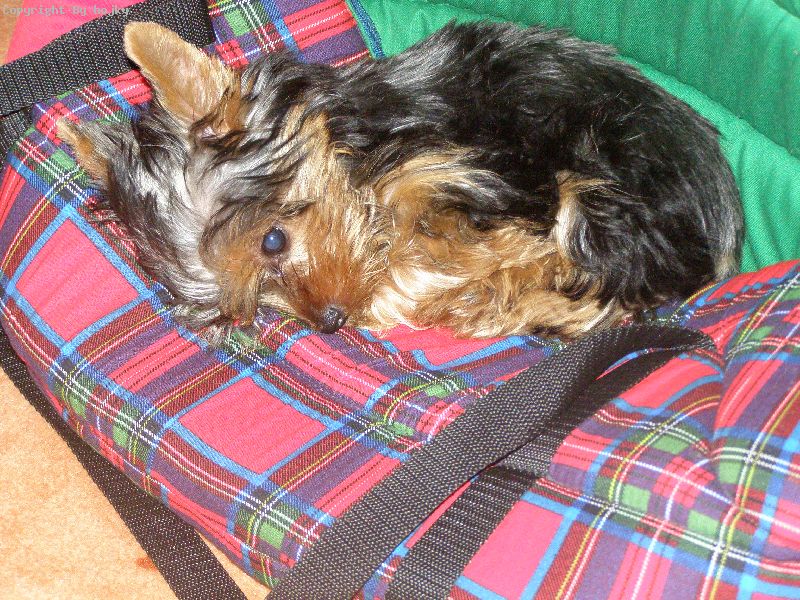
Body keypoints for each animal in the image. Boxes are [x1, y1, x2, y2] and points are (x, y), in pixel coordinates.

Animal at [58, 20, 742, 342]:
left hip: (608, 192)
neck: (358, 149)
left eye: (272, 241)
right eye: (246, 304)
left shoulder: (464, 169)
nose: (332, 321)